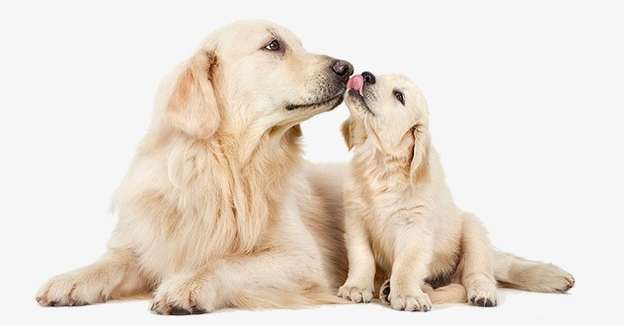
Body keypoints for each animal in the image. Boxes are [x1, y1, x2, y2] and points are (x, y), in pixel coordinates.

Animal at [36, 19, 354, 314]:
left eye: (300, 45)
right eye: (273, 45)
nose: (347, 68)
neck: (225, 166)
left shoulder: (302, 258)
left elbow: (225, 262)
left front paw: (188, 285)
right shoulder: (146, 242)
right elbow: (111, 262)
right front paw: (72, 280)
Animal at [338, 72, 572, 312]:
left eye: (399, 96)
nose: (366, 74)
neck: (380, 164)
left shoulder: (415, 225)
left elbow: (407, 264)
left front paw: (407, 295)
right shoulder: (356, 220)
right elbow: (361, 257)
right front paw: (356, 287)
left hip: (472, 230)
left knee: (477, 275)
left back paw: (482, 293)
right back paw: (387, 289)